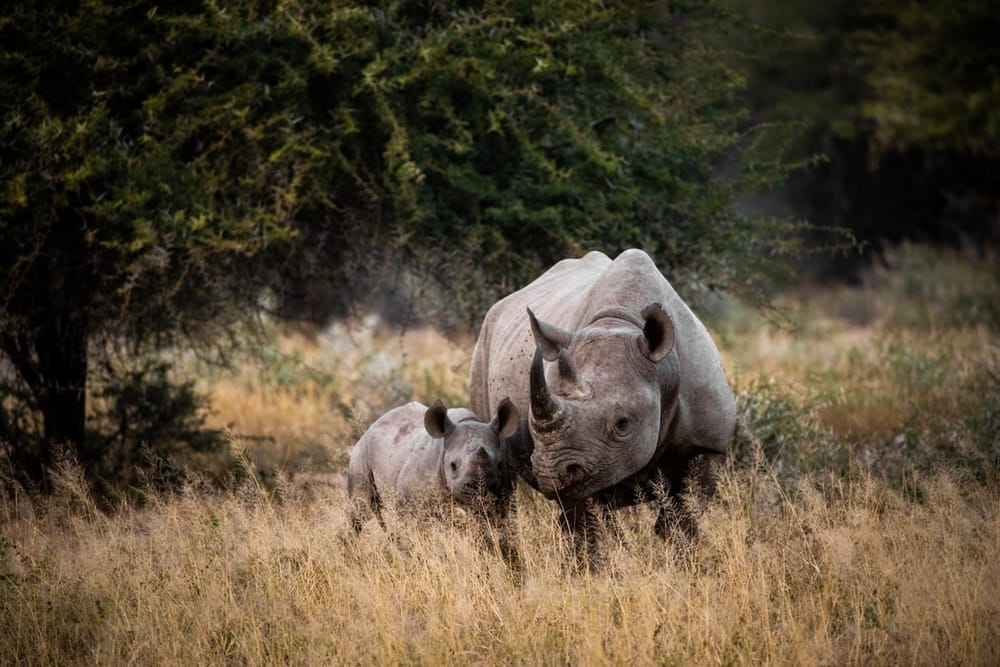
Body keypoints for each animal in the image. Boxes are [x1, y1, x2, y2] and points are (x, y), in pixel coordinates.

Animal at [347, 398, 519, 533]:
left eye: (499, 464)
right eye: (453, 465)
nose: (479, 490)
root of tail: (372, 425)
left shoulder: (503, 499)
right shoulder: (409, 503)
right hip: (360, 453)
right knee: (360, 510)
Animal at [469, 249, 736, 559]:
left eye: (623, 423)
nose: (551, 472)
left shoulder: (708, 445)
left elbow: (681, 521)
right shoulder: (586, 459)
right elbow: (592, 527)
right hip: (483, 346)